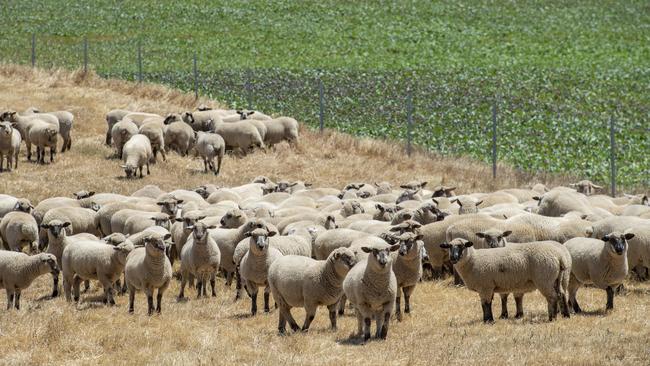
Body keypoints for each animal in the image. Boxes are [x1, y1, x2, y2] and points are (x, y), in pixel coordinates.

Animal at [438, 239, 568, 322]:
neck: (473, 261)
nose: (453, 258)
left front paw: (488, 320)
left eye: (461, 246)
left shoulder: (485, 286)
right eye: (449, 246)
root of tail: (559, 257)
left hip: (544, 279)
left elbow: (485, 304)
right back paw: (566, 315)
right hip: (556, 279)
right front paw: (488, 319)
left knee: (552, 297)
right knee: (561, 295)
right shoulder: (488, 287)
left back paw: (552, 318)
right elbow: (487, 303)